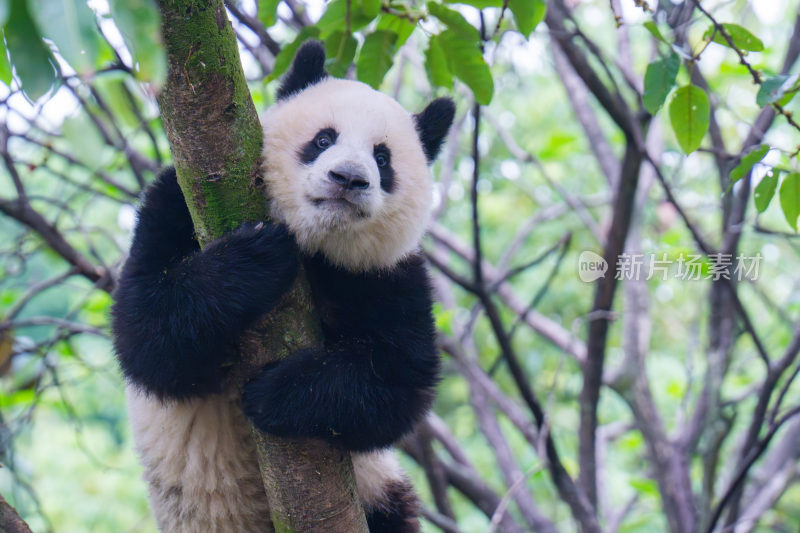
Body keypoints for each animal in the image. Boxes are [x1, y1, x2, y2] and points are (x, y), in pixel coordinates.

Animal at [109, 41, 454, 532]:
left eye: (382, 158)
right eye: (324, 139)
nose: (348, 179)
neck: (313, 243)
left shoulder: (386, 275)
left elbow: (397, 383)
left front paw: (274, 393)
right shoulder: (176, 201)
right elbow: (146, 334)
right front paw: (256, 258)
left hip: (380, 489)